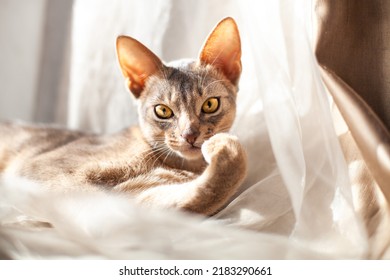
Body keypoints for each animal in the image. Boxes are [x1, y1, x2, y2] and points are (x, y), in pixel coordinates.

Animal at [0, 17, 247, 214]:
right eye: (163, 111)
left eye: (210, 104)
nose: (190, 135)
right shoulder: (43, 169)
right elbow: (93, 204)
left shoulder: (141, 193)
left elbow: (198, 197)